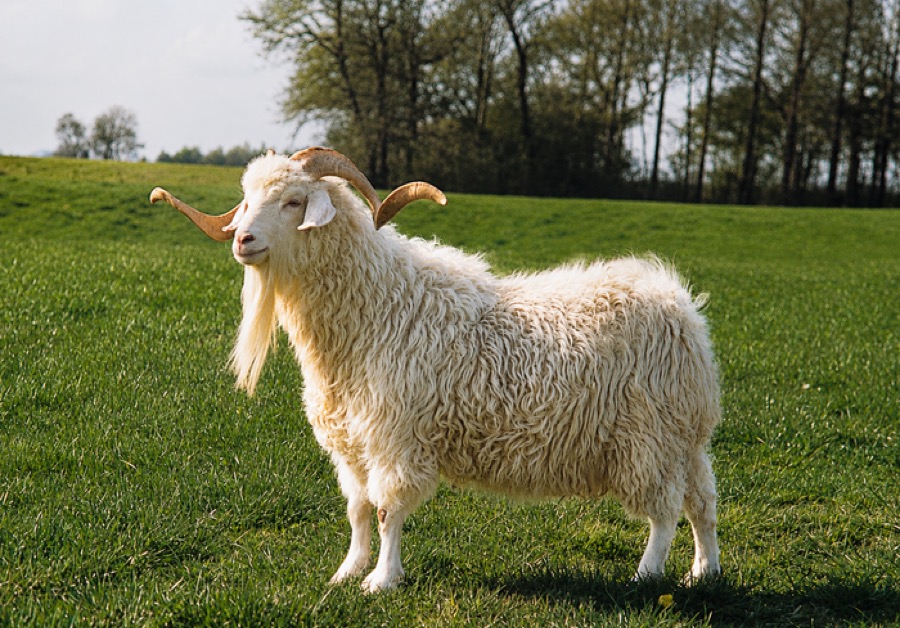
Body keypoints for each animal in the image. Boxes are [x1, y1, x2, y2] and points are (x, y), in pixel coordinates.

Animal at [150, 147, 722, 593]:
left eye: (293, 201)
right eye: (247, 200)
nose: (242, 240)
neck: (378, 308)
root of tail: (682, 309)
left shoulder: (396, 437)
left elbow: (388, 510)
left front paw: (381, 581)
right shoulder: (353, 441)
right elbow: (359, 510)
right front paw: (346, 572)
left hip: (647, 438)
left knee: (664, 510)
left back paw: (648, 575)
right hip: (682, 439)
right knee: (702, 501)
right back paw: (704, 571)